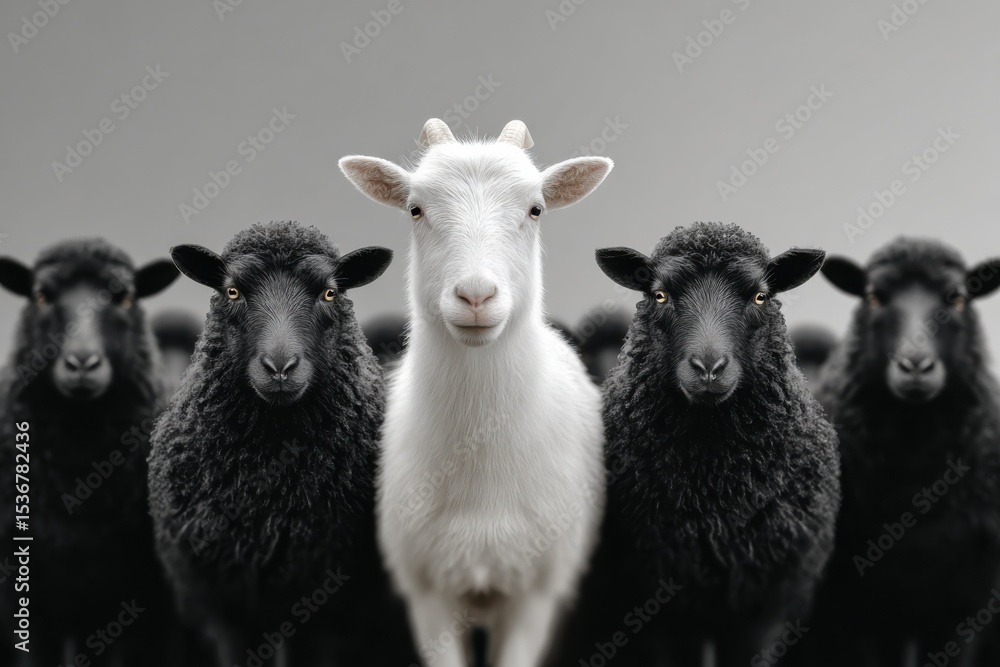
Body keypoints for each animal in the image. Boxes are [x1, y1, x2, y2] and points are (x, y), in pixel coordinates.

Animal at [587, 222, 840, 666]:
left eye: (760, 295)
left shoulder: (764, 605)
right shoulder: (663, 606)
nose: (708, 368)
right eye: (659, 294)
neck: (713, 485)